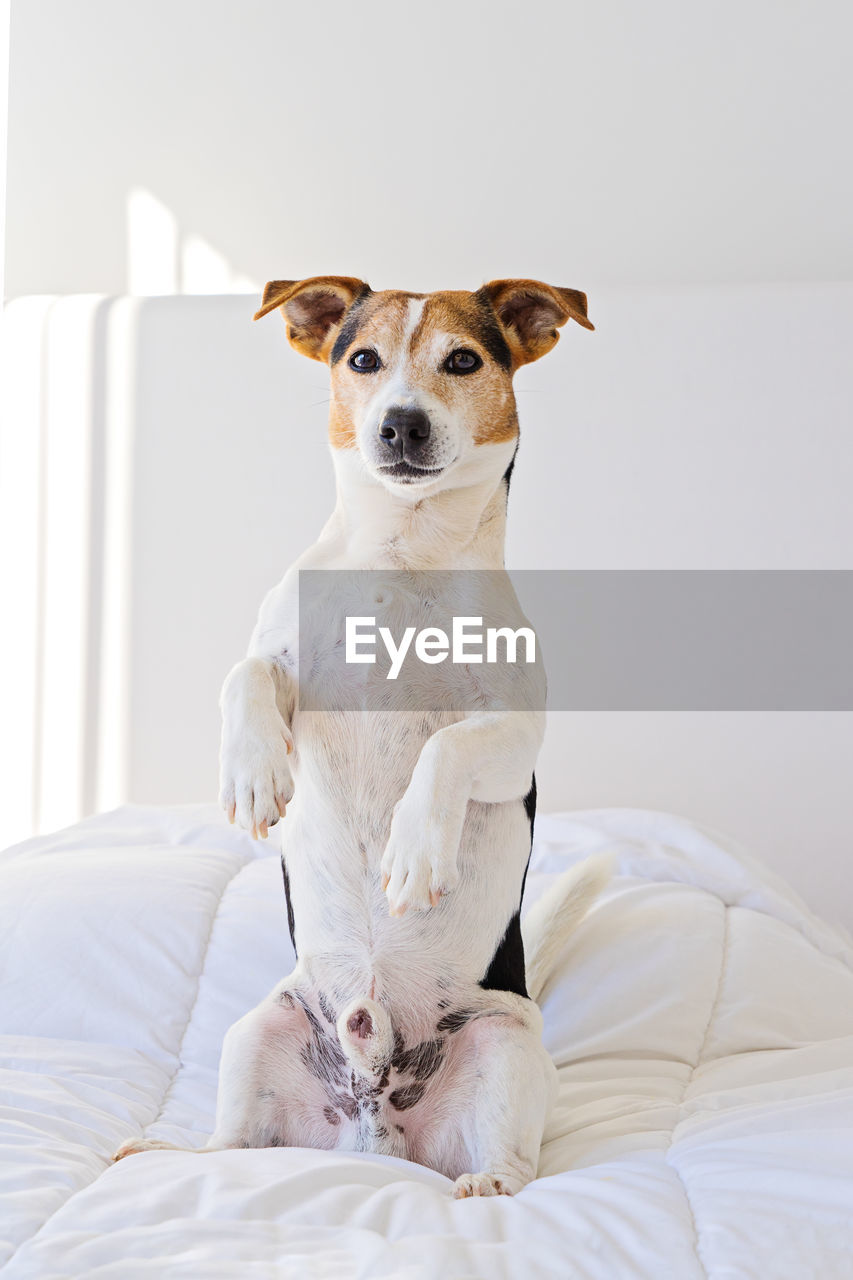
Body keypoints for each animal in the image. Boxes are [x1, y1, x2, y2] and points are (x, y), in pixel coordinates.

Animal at [114, 275, 604, 1192]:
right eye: (364, 360)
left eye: (463, 360)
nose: (399, 423)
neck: (403, 557)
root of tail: (375, 1128)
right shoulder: (282, 663)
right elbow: (246, 676)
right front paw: (253, 776)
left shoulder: (512, 733)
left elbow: (446, 750)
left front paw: (415, 848)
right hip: (260, 1028)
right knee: (235, 1146)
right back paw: (173, 1152)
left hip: (506, 1042)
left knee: (510, 1160)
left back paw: (488, 1183)